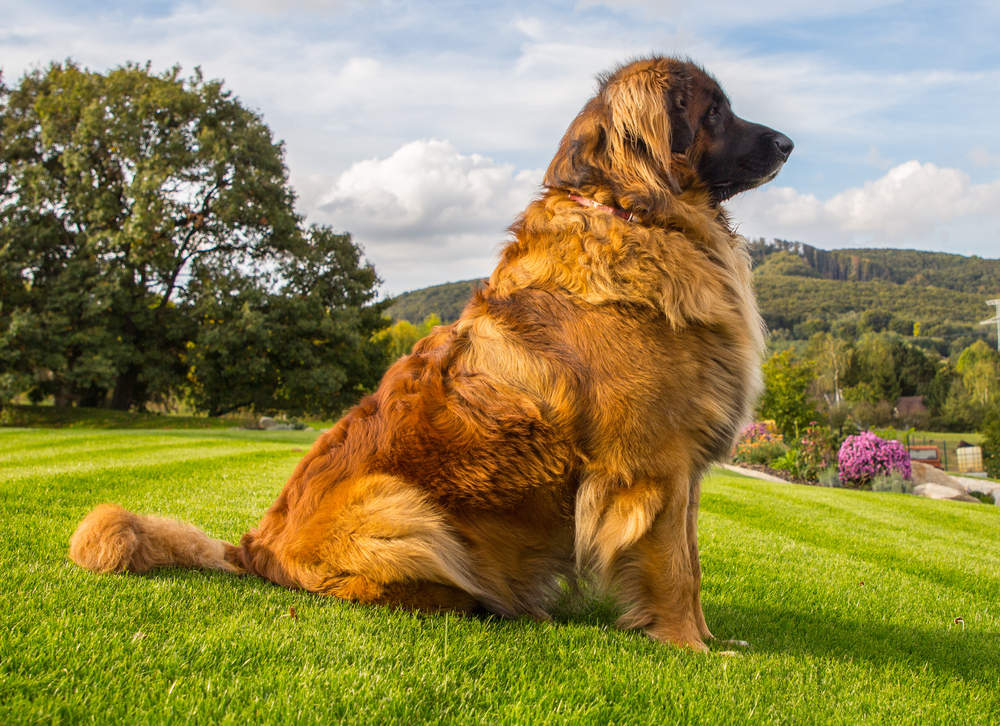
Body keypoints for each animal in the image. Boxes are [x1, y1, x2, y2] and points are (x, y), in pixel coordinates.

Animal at [70, 54, 792, 652]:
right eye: (714, 113)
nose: (788, 143)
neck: (633, 215)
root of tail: (253, 548)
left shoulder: (682, 472)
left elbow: (691, 559)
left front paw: (711, 640)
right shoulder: (652, 464)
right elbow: (674, 569)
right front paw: (692, 649)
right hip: (399, 505)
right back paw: (482, 600)